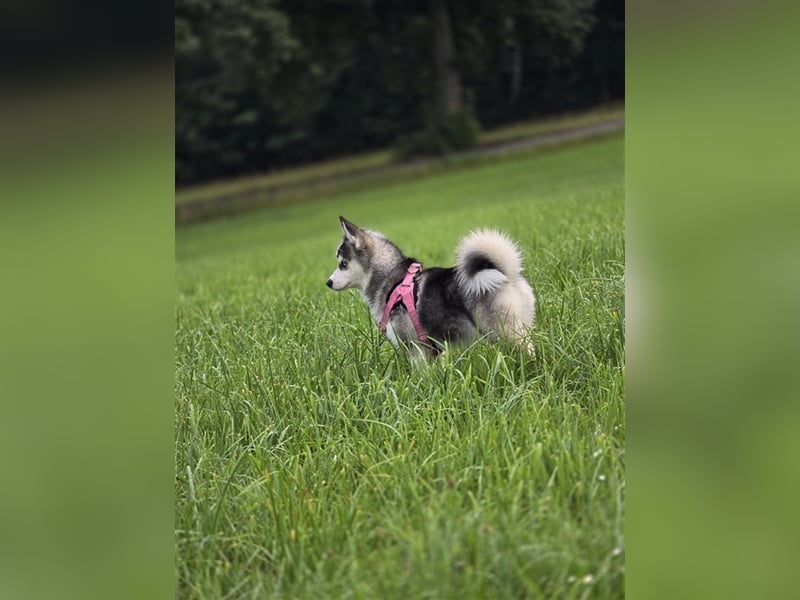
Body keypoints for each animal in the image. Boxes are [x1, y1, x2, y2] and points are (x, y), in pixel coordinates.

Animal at [324, 217, 536, 354]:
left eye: (343, 264)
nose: (328, 282)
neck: (392, 279)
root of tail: (508, 274)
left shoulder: (415, 347)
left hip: (503, 332)